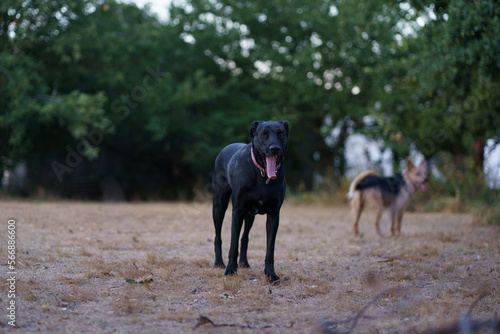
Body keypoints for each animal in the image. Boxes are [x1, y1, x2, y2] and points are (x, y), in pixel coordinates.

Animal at [212, 120, 290, 282]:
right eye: (264, 135)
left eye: (281, 134)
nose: (274, 148)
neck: (262, 174)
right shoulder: (237, 211)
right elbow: (233, 244)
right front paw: (230, 270)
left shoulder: (274, 214)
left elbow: (270, 249)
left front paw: (271, 274)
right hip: (219, 205)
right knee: (218, 235)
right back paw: (219, 262)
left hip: (250, 216)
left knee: (245, 237)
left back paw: (244, 262)